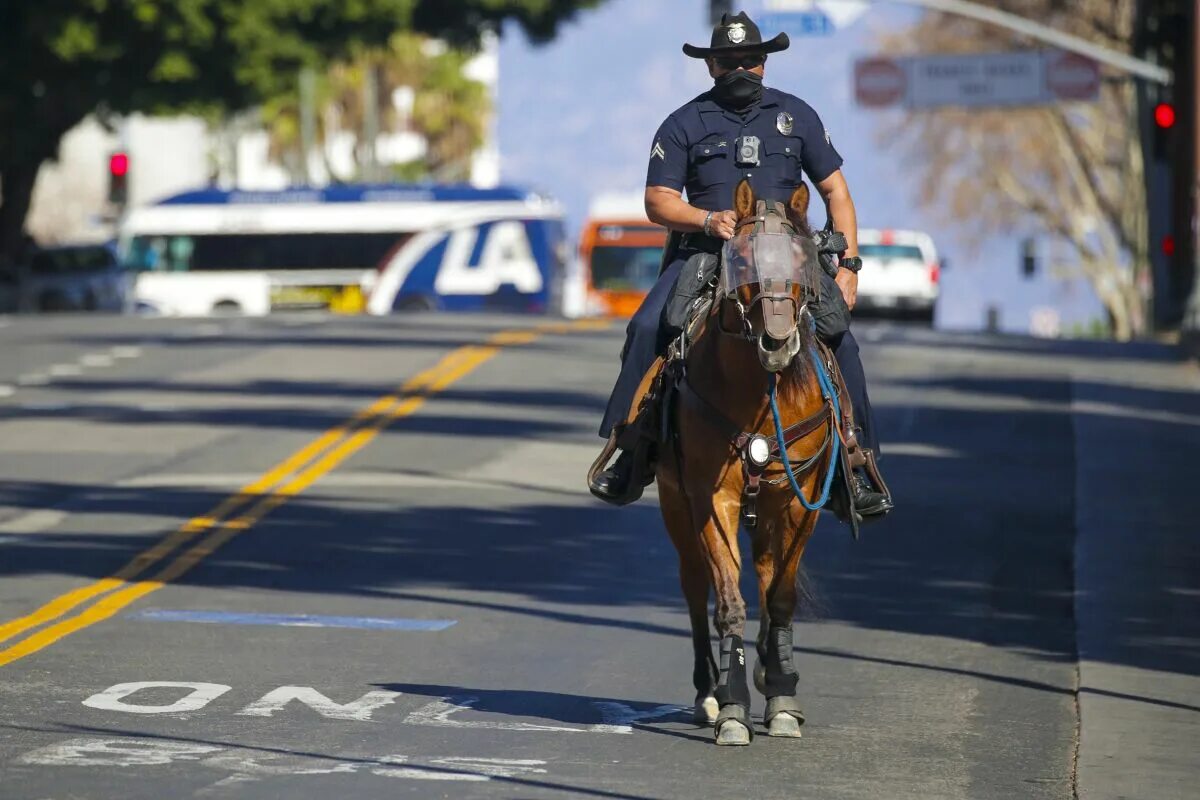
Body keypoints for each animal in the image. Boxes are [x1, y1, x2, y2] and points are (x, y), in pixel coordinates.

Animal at [652, 178, 840, 748]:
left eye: (802, 260)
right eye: (740, 261)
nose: (778, 340)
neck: (761, 390)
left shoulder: (801, 501)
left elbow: (779, 596)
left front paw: (781, 693)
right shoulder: (713, 498)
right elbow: (729, 600)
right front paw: (733, 706)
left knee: (762, 571)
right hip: (675, 505)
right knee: (696, 586)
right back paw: (708, 692)